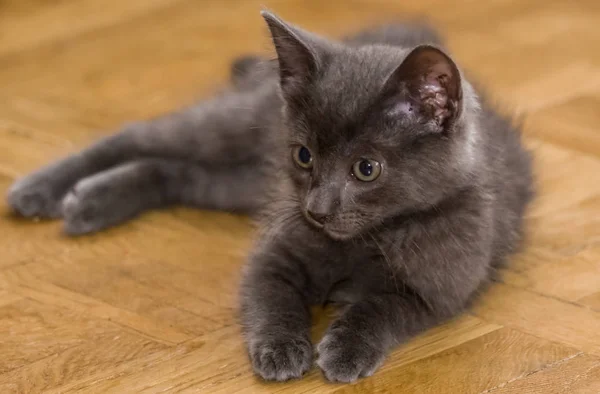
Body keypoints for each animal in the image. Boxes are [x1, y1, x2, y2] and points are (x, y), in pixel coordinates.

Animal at [5, 11, 528, 382]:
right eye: (303, 155)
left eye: (366, 169)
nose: (317, 210)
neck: (365, 240)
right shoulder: (273, 252)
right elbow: (272, 294)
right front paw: (280, 348)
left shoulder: (440, 289)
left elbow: (380, 308)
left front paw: (346, 350)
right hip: (234, 131)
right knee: (140, 136)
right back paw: (42, 190)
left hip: (238, 183)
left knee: (173, 171)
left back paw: (90, 202)